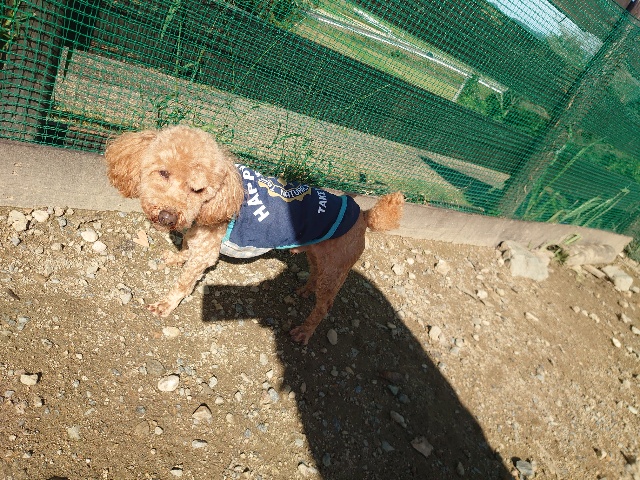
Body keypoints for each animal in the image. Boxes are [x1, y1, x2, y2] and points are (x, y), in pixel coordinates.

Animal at [105, 125, 404, 344]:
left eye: (198, 190)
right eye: (163, 173)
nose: (168, 217)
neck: (220, 200)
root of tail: (363, 216)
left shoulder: (207, 250)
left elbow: (184, 281)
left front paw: (166, 305)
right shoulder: (198, 234)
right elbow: (187, 247)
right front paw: (176, 257)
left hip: (335, 270)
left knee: (324, 305)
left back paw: (304, 331)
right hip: (318, 255)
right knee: (315, 274)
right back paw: (305, 290)